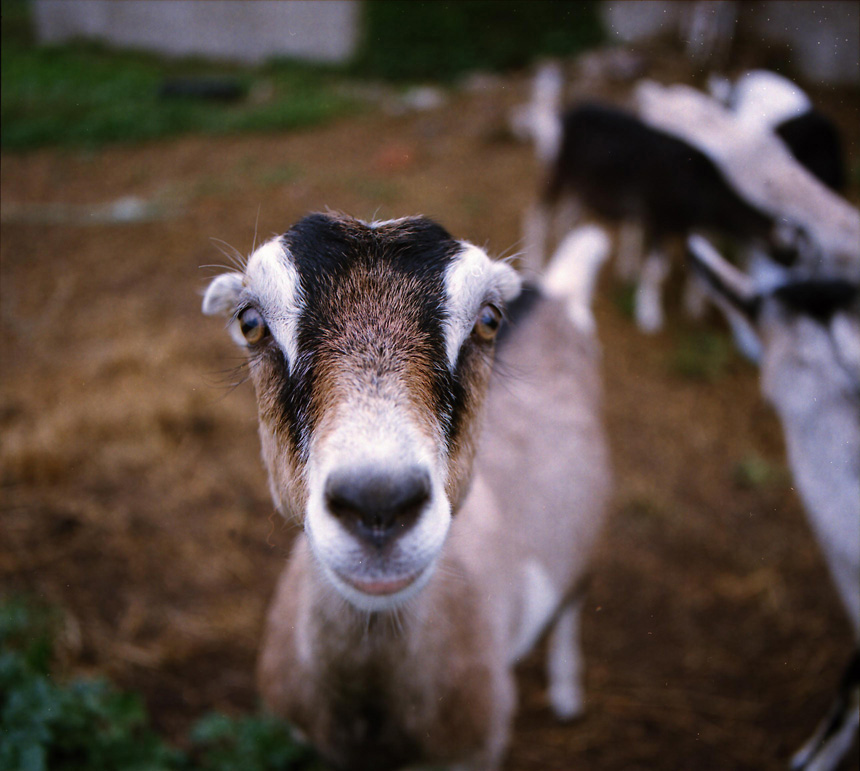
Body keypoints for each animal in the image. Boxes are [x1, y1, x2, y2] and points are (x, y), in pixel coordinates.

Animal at [202, 213, 611, 770]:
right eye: (250, 322)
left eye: (488, 320)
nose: (378, 505)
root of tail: (558, 296)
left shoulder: (476, 752)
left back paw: (567, 693)